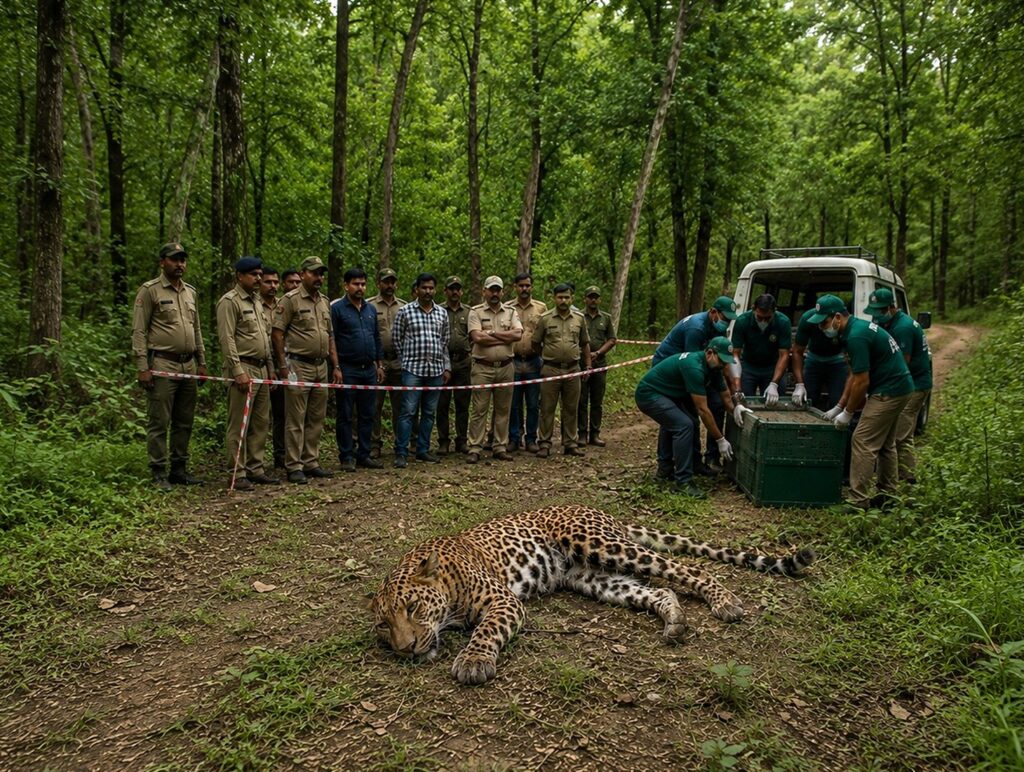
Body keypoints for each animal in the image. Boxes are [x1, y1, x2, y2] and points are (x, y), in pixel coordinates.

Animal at [372, 505, 815, 685]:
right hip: (594, 577)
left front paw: (473, 662)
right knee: (659, 589)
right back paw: (674, 621)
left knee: (689, 569)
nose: (405, 649)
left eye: (413, 606)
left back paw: (724, 602)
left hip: (602, 544)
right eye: (383, 625)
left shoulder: (502, 601)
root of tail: (601, 511)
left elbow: (485, 631)